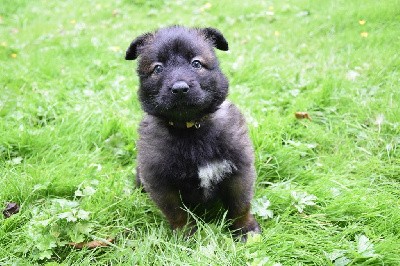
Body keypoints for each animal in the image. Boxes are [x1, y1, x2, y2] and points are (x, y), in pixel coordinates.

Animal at [126, 26, 260, 240]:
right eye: (158, 68)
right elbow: (177, 213)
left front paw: (245, 229)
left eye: (196, 63)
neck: (190, 129)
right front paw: (186, 236)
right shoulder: (161, 183)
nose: (180, 89)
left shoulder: (239, 170)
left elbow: (240, 205)